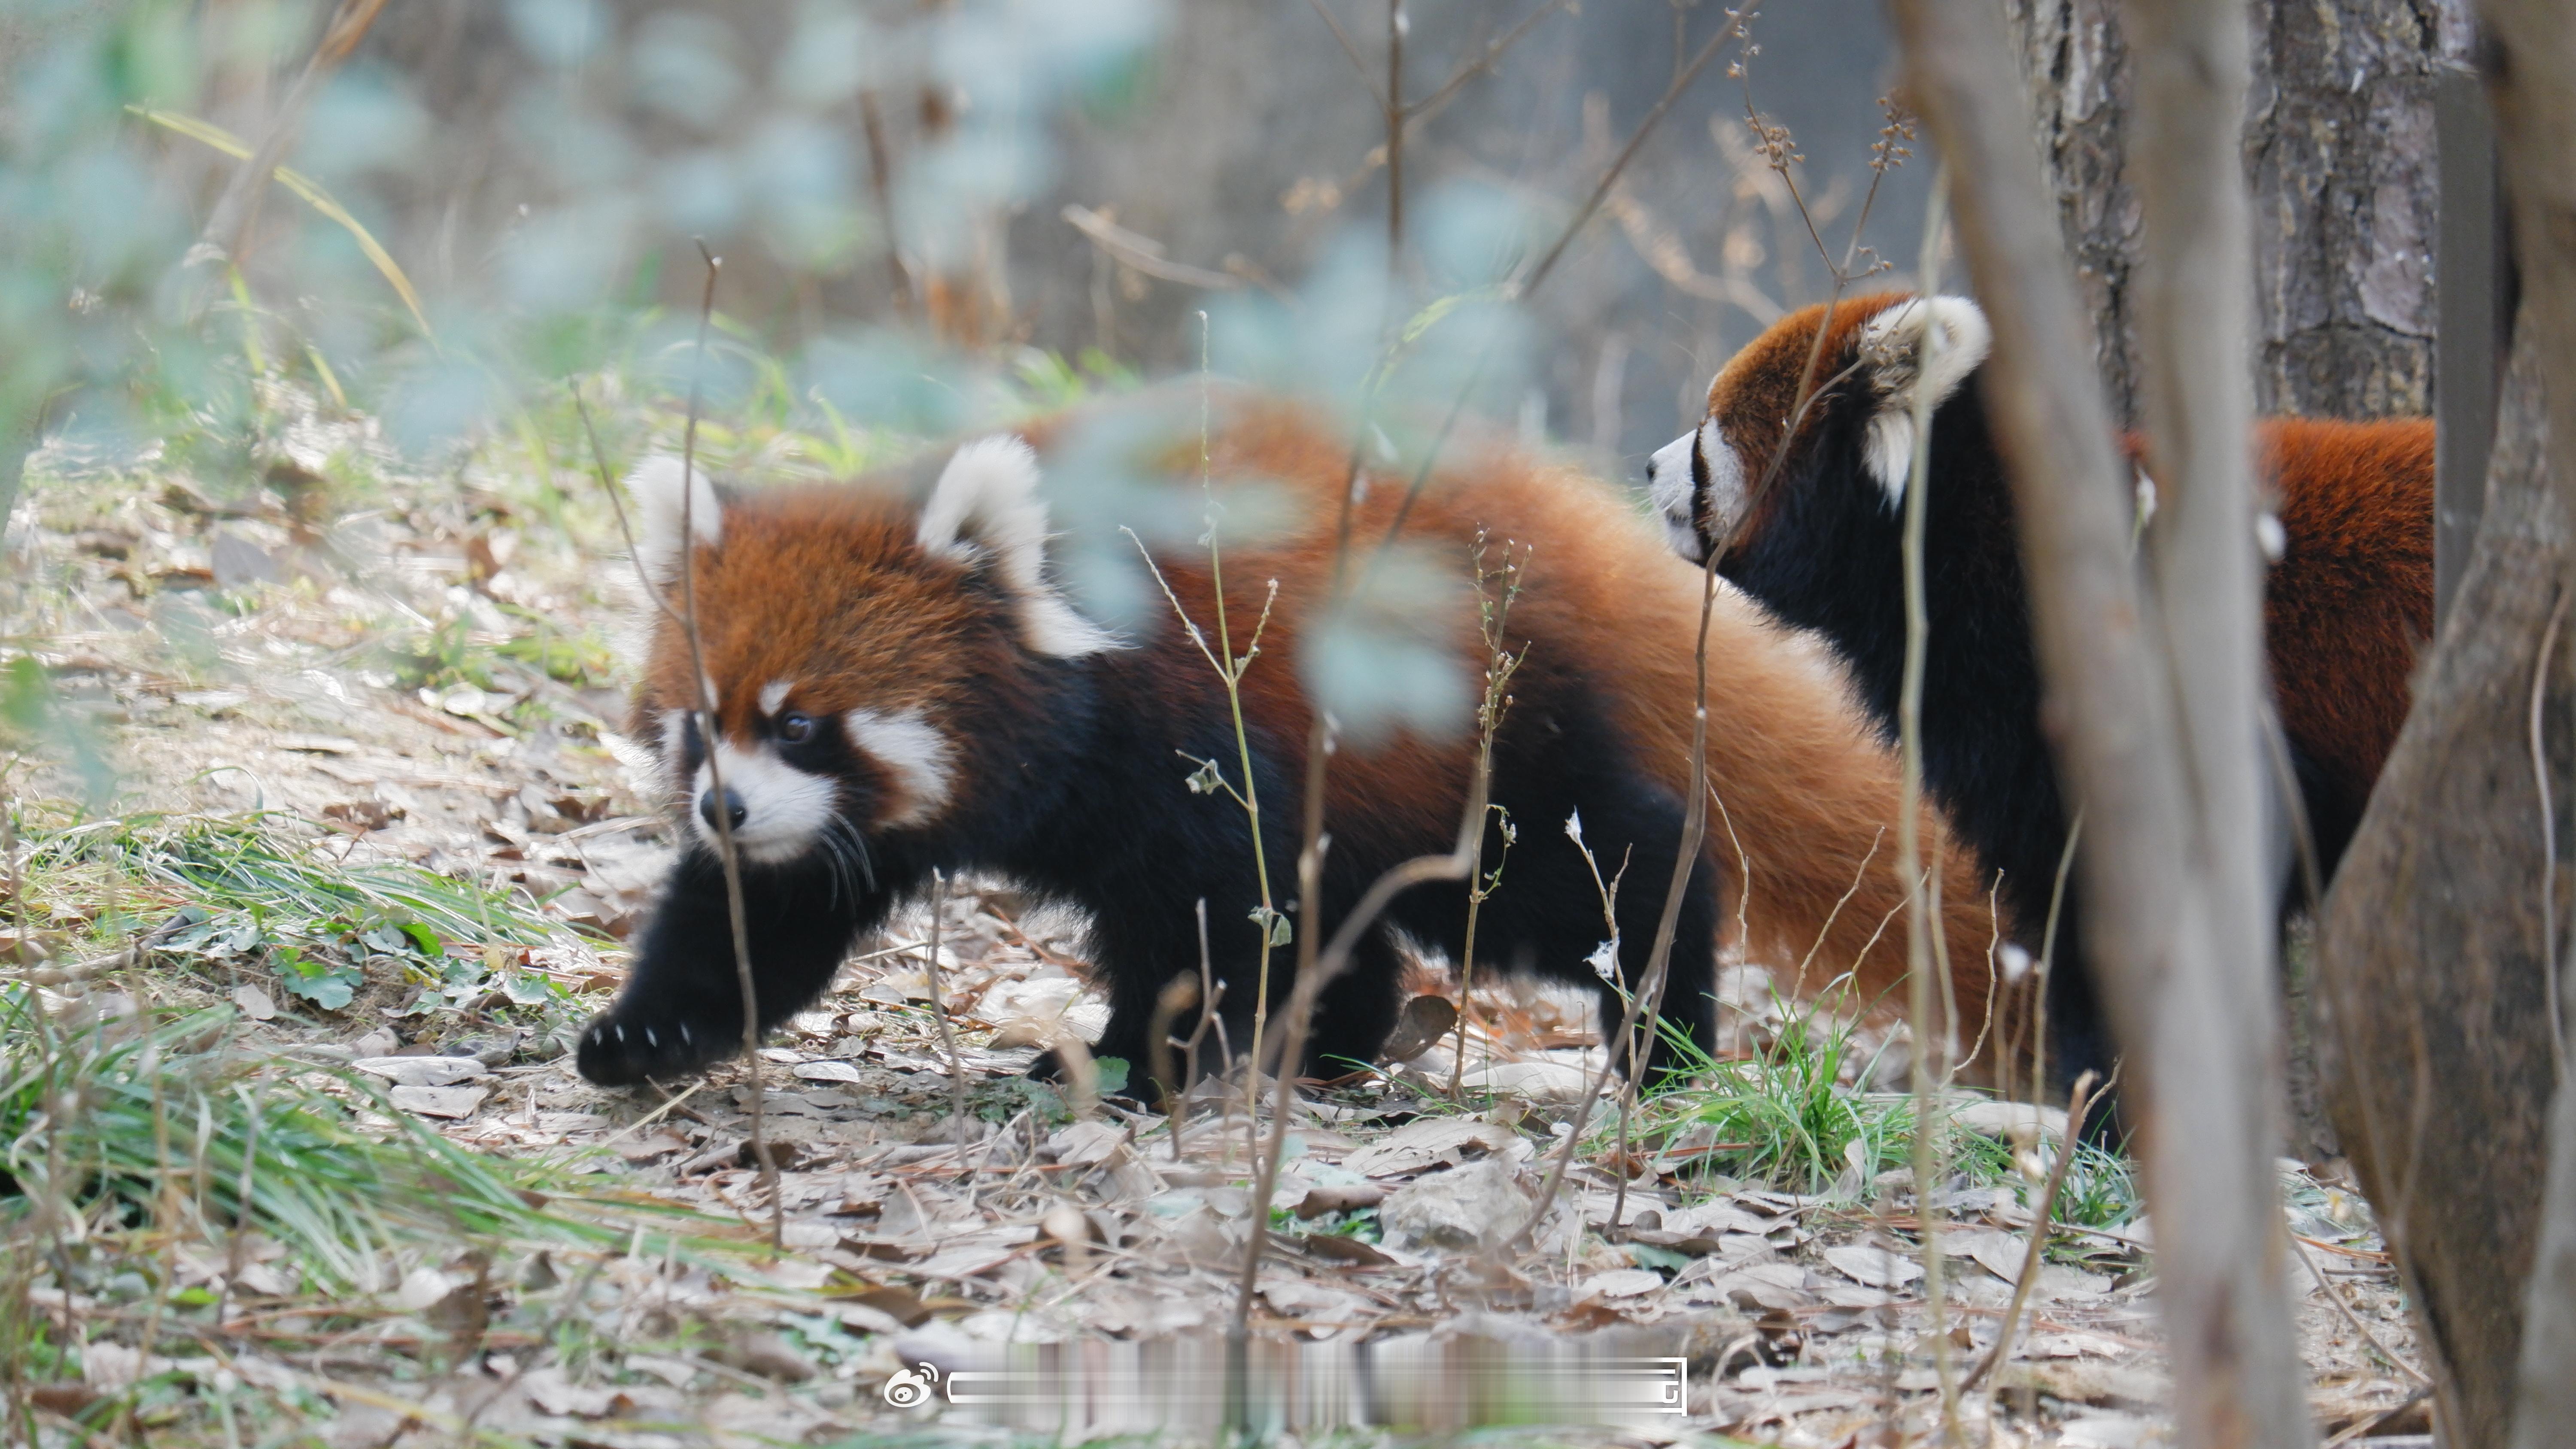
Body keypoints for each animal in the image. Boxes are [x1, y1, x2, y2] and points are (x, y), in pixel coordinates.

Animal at [574, 391, 2020, 1096]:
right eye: (706, 724)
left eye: (803, 725)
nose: (721, 810)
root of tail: (1562, 530)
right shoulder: (850, 834)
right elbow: (760, 922)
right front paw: (643, 1037)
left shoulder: (1186, 736)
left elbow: (1222, 919)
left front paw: (1149, 1067)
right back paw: (1336, 1045)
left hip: (1470, 740)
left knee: (1605, 866)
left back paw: (1661, 1038)